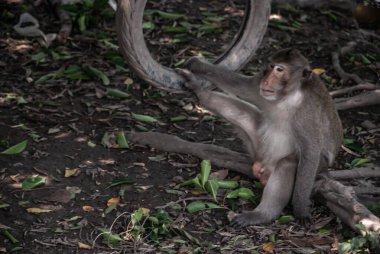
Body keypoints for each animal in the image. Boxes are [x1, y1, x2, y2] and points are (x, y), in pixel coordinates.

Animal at [177, 48, 342, 227]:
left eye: (280, 69)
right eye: (271, 66)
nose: (267, 80)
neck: (287, 96)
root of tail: (264, 166)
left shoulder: (307, 112)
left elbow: (311, 151)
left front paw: (300, 210)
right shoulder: (258, 85)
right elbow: (242, 87)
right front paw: (196, 65)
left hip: (318, 166)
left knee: (288, 163)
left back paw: (263, 214)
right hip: (257, 148)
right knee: (243, 114)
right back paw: (203, 95)